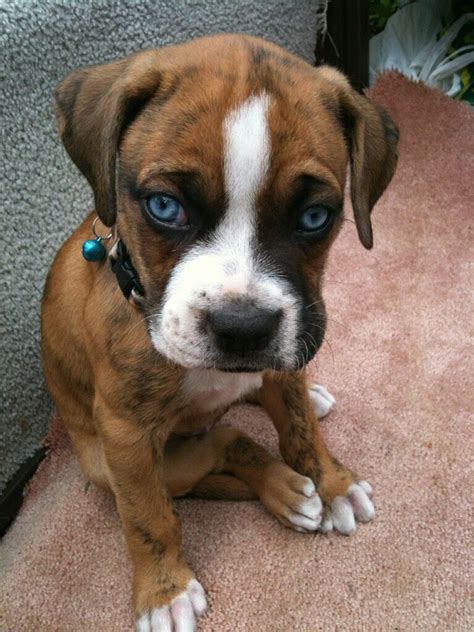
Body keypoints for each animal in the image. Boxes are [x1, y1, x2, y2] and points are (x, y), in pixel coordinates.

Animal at [40, 34, 398, 632]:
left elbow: (300, 431)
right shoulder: (126, 434)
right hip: (103, 462)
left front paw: (332, 482)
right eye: (165, 206)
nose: (243, 329)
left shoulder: (287, 349)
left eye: (315, 217)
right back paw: (282, 488)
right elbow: (147, 516)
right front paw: (163, 591)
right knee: (223, 443)